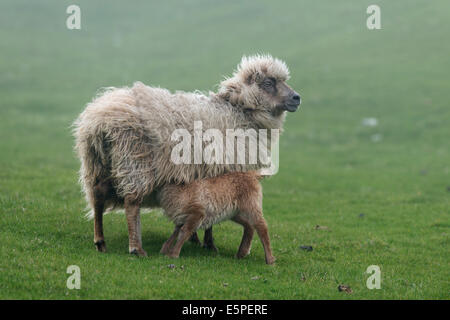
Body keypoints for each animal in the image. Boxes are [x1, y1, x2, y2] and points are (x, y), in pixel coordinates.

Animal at [72, 54, 300, 255]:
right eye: (269, 83)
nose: (297, 98)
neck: (239, 113)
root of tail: (100, 120)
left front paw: (197, 239)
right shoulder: (221, 170)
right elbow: (213, 205)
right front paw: (209, 244)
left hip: (98, 163)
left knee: (98, 197)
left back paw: (100, 241)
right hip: (134, 160)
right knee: (131, 203)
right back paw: (136, 247)